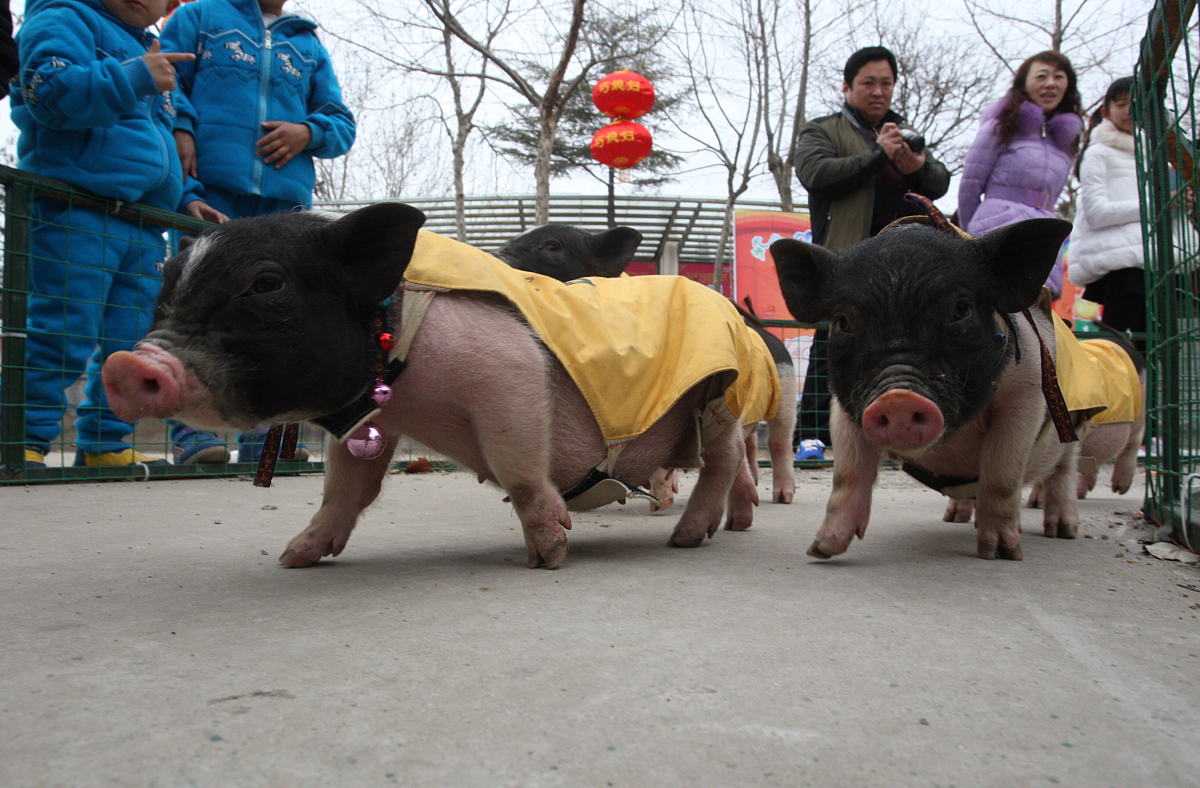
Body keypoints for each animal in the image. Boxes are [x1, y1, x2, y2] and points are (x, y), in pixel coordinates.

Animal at [494, 220, 796, 506]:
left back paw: (782, 496)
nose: (493, 256)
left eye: (552, 246)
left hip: (786, 393)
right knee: (752, 443)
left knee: (778, 440)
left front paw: (663, 499)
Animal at [772, 214, 1084, 558]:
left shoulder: (1025, 396)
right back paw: (955, 519)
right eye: (842, 322)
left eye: (962, 310)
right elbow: (847, 474)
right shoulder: (846, 407)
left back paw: (1063, 532)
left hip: (1071, 430)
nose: (898, 398)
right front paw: (822, 550)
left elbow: (1001, 476)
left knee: (1064, 472)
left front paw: (1002, 553)